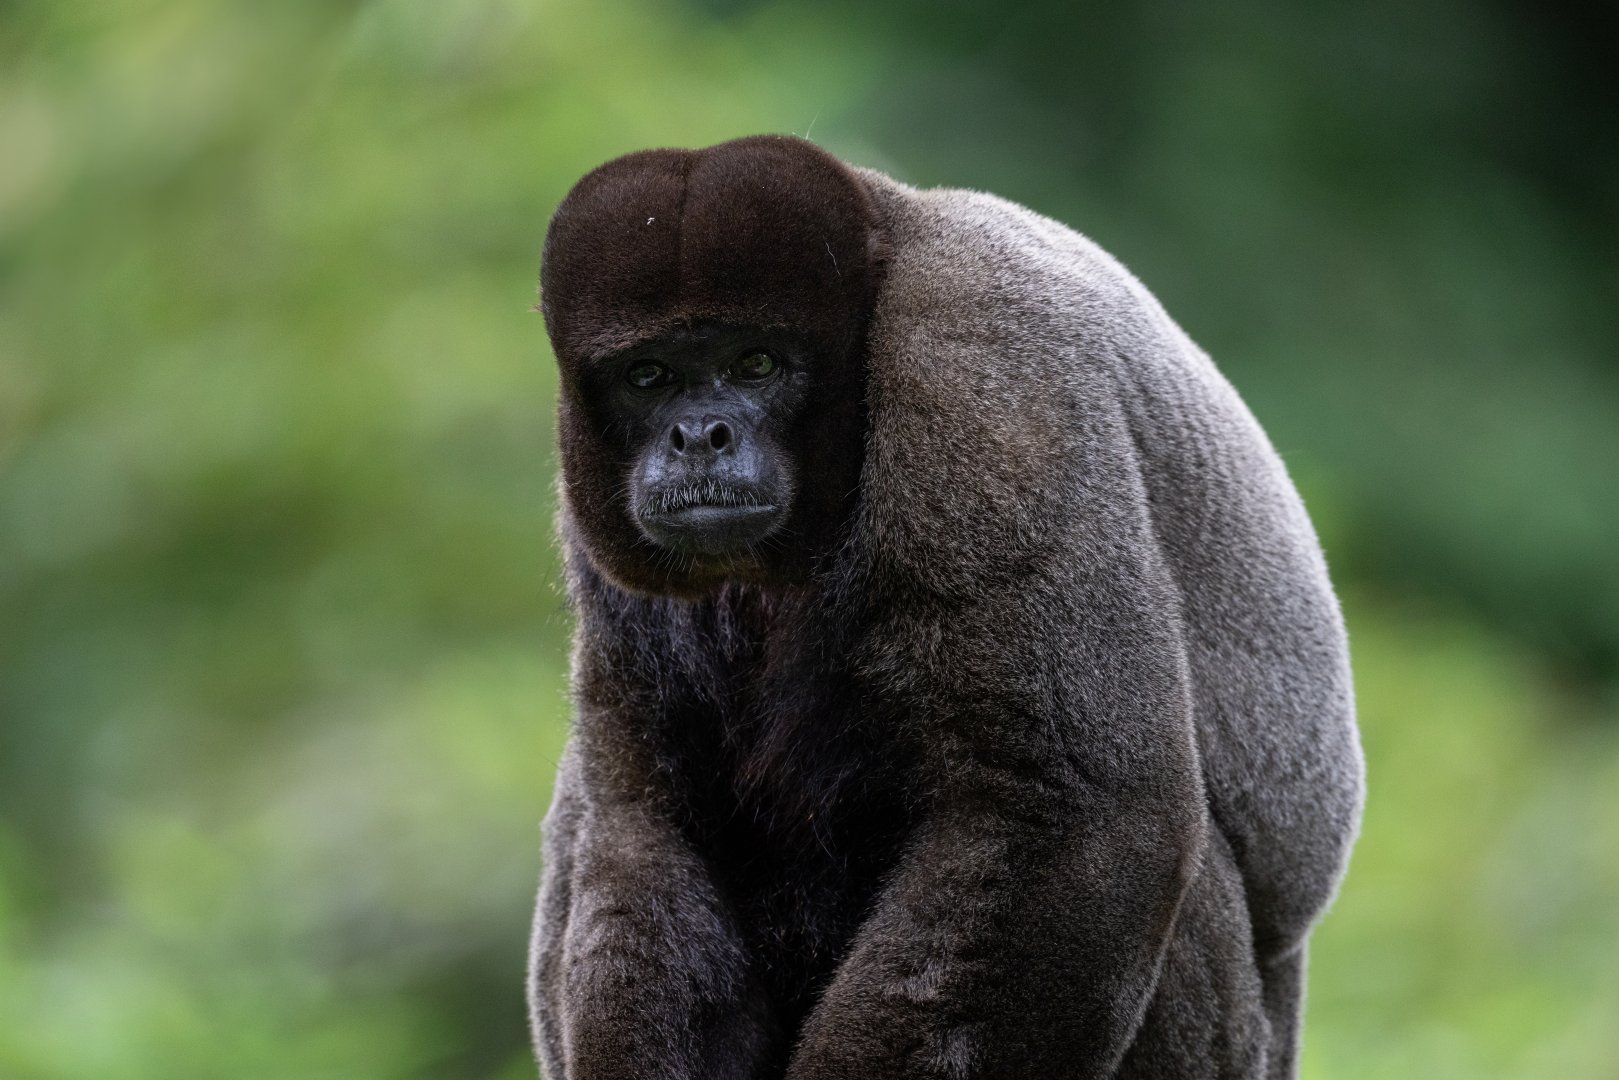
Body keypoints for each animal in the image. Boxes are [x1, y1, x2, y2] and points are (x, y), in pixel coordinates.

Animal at [527, 134, 1364, 1080]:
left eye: (756, 363)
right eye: (648, 377)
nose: (698, 436)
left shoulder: (983, 377)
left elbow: (1079, 816)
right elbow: (640, 820)